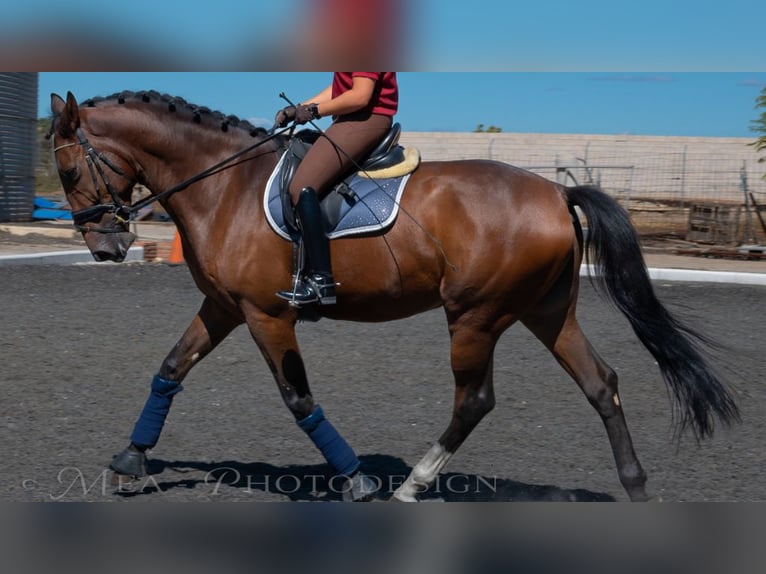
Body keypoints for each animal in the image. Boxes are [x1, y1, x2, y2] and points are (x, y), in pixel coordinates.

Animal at [48, 90, 736, 504]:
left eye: (71, 169)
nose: (107, 247)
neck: (224, 186)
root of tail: (556, 192)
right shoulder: (224, 306)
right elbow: (170, 367)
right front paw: (131, 457)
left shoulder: (267, 314)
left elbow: (298, 399)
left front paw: (356, 481)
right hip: (546, 311)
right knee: (601, 382)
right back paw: (635, 486)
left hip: (476, 314)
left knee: (476, 399)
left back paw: (413, 484)